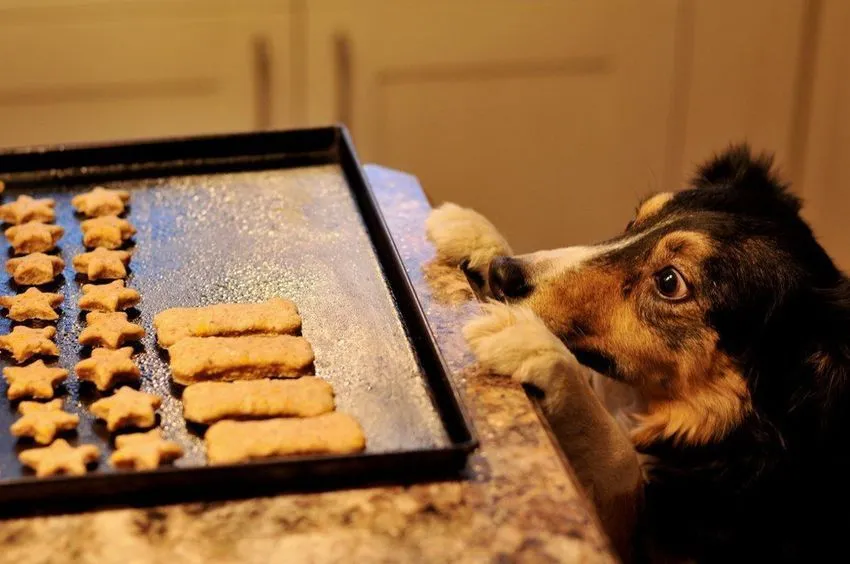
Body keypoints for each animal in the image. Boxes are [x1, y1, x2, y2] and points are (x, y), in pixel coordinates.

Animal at [428, 147, 848, 564]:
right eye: (635, 221)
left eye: (669, 282)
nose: (502, 273)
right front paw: (477, 235)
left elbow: (622, 461)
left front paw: (540, 349)